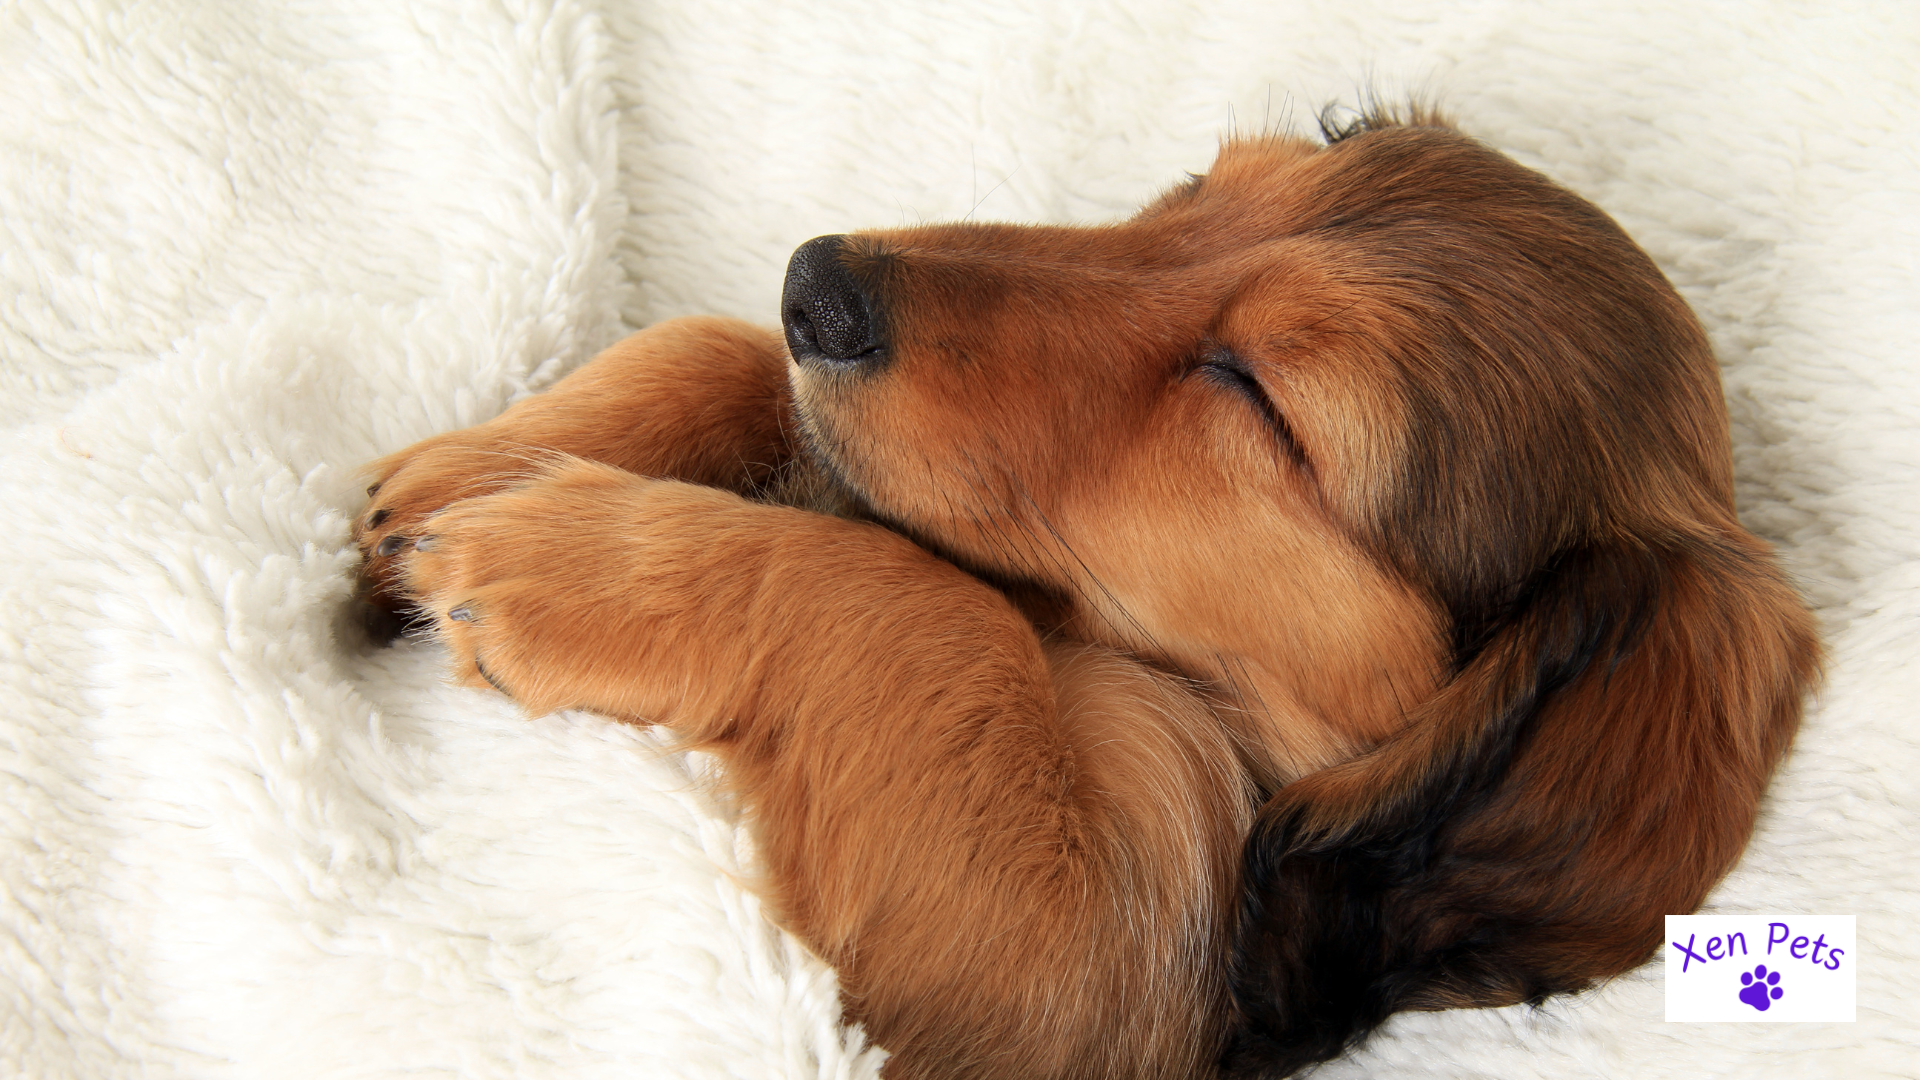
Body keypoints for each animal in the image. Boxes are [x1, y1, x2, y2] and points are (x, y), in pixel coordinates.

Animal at [357, 111, 1812, 1076]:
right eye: (1206, 187)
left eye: (1264, 402)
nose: (814, 284)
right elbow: (729, 360)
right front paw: (478, 466)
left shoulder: (1065, 985)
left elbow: (938, 606)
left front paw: (566, 559)